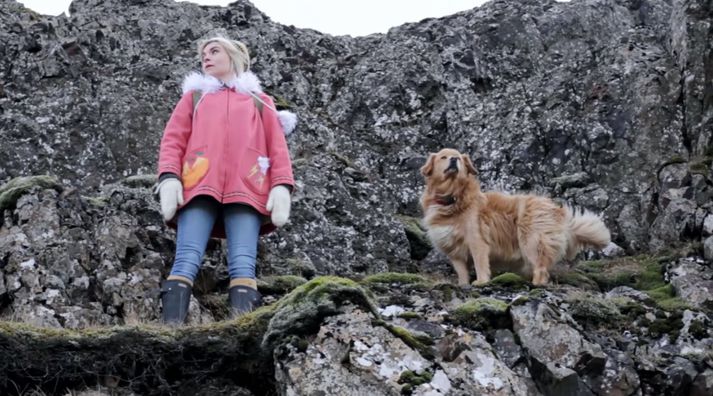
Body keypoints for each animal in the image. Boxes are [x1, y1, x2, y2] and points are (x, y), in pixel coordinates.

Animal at [420, 148, 608, 284]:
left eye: (458, 157)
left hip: (532, 241)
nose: (454, 160)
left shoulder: (477, 241)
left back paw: (535, 284)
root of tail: (556, 209)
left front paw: (481, 282)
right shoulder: (454, 252)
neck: (452, 199)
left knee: (541, 268)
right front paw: (463, 285)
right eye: (444, 157)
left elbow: (480, 264)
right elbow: (462, 272)